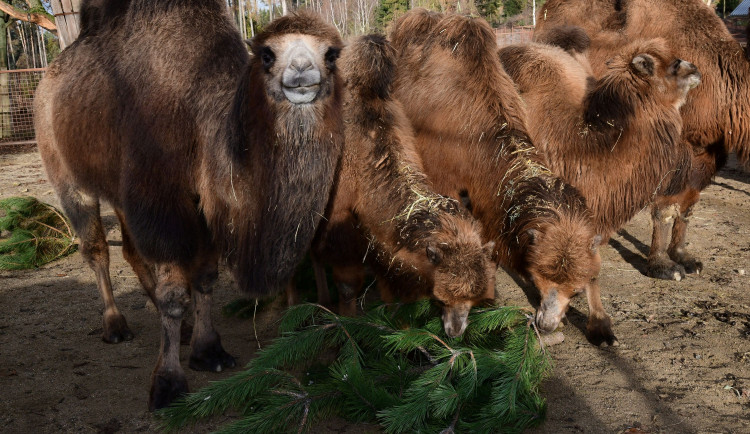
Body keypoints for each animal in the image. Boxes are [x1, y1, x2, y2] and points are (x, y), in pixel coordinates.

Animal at [32, 0, 344, 408]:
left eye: (331, 53)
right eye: (267, 54)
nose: (303, 73)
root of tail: (46, 83)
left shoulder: (202, 205)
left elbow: (205, 278)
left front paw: (208, 350)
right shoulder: (161, 200)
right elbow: (174, 293)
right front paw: (167, 382)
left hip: (121, 190)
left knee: (131, 249)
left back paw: (177, 330)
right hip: (64, 170)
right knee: (96, 247)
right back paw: (115, 325)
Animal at [308, 34, 502, 340]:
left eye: (473, 300)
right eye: (441, 298)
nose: (455, 331)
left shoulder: (380, 242)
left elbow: (390, 287)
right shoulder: (338, 224)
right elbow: (348, 285)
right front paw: (346, 326)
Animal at [390, 11, 612, 346]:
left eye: (574, 290)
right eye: (537, 276)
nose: (547, 324)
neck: (474, 136)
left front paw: (601, 325)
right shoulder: (445, 180)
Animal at [536, 0, 748, 282]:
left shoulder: (706, 156)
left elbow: (688, 207)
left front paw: (684, 258)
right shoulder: (669, 150)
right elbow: (664, 210)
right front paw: (663, 266)